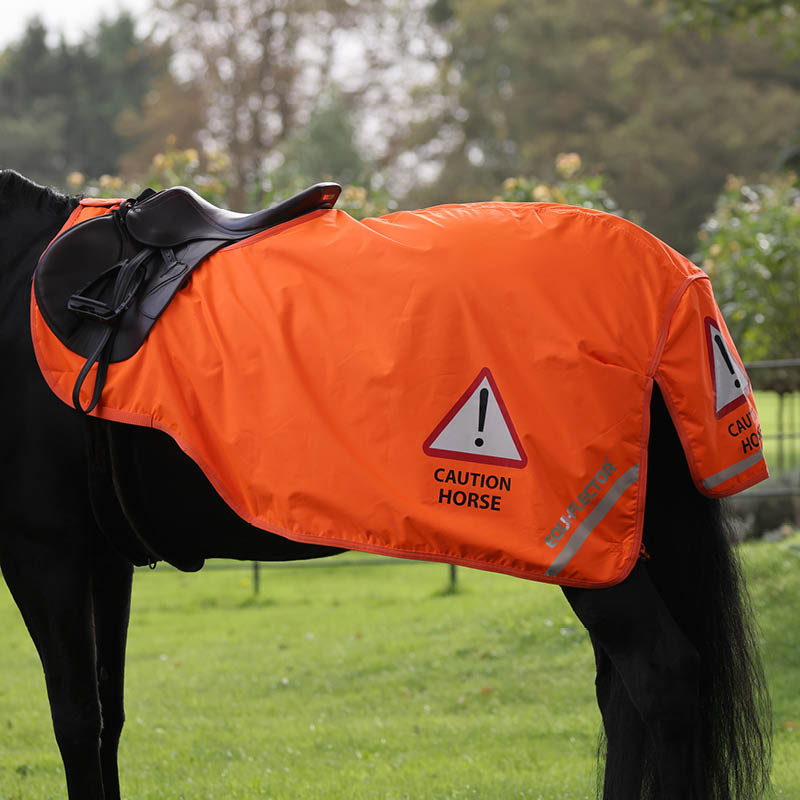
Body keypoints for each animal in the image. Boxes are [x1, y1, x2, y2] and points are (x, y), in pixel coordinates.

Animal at [0, 169, 772, 799]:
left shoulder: (43, 552)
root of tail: (668, 277)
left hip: (588, 546)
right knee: (624, 694)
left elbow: (75, 719)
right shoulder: (104, 558)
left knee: (660, 678)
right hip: (618, 543)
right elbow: (109, 716)